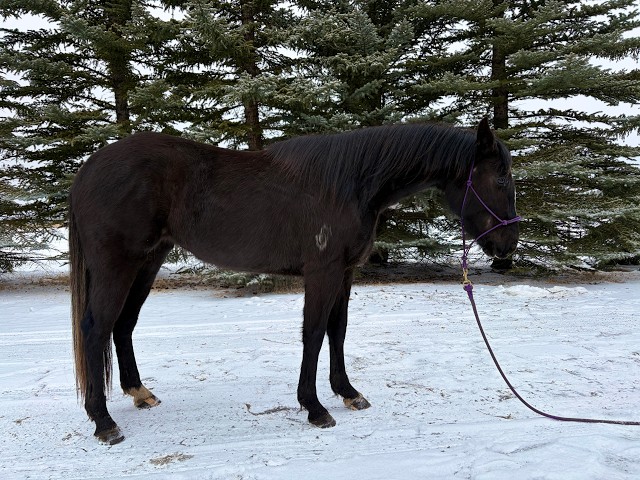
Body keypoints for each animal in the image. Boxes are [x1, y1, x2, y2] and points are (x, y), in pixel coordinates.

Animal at [68, 118, 519, 444]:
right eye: (500, 179)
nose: (507, 245)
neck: (350, 184)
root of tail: (89, 167)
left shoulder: (344, 272)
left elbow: (338, 330)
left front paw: (347, 392)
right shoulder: (322, 272)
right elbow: (314, 333)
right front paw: (315, 407)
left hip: (148, 262)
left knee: (123, 325)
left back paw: (139, 393)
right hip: (118, 265)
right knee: (96, 328)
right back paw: (103, 421)